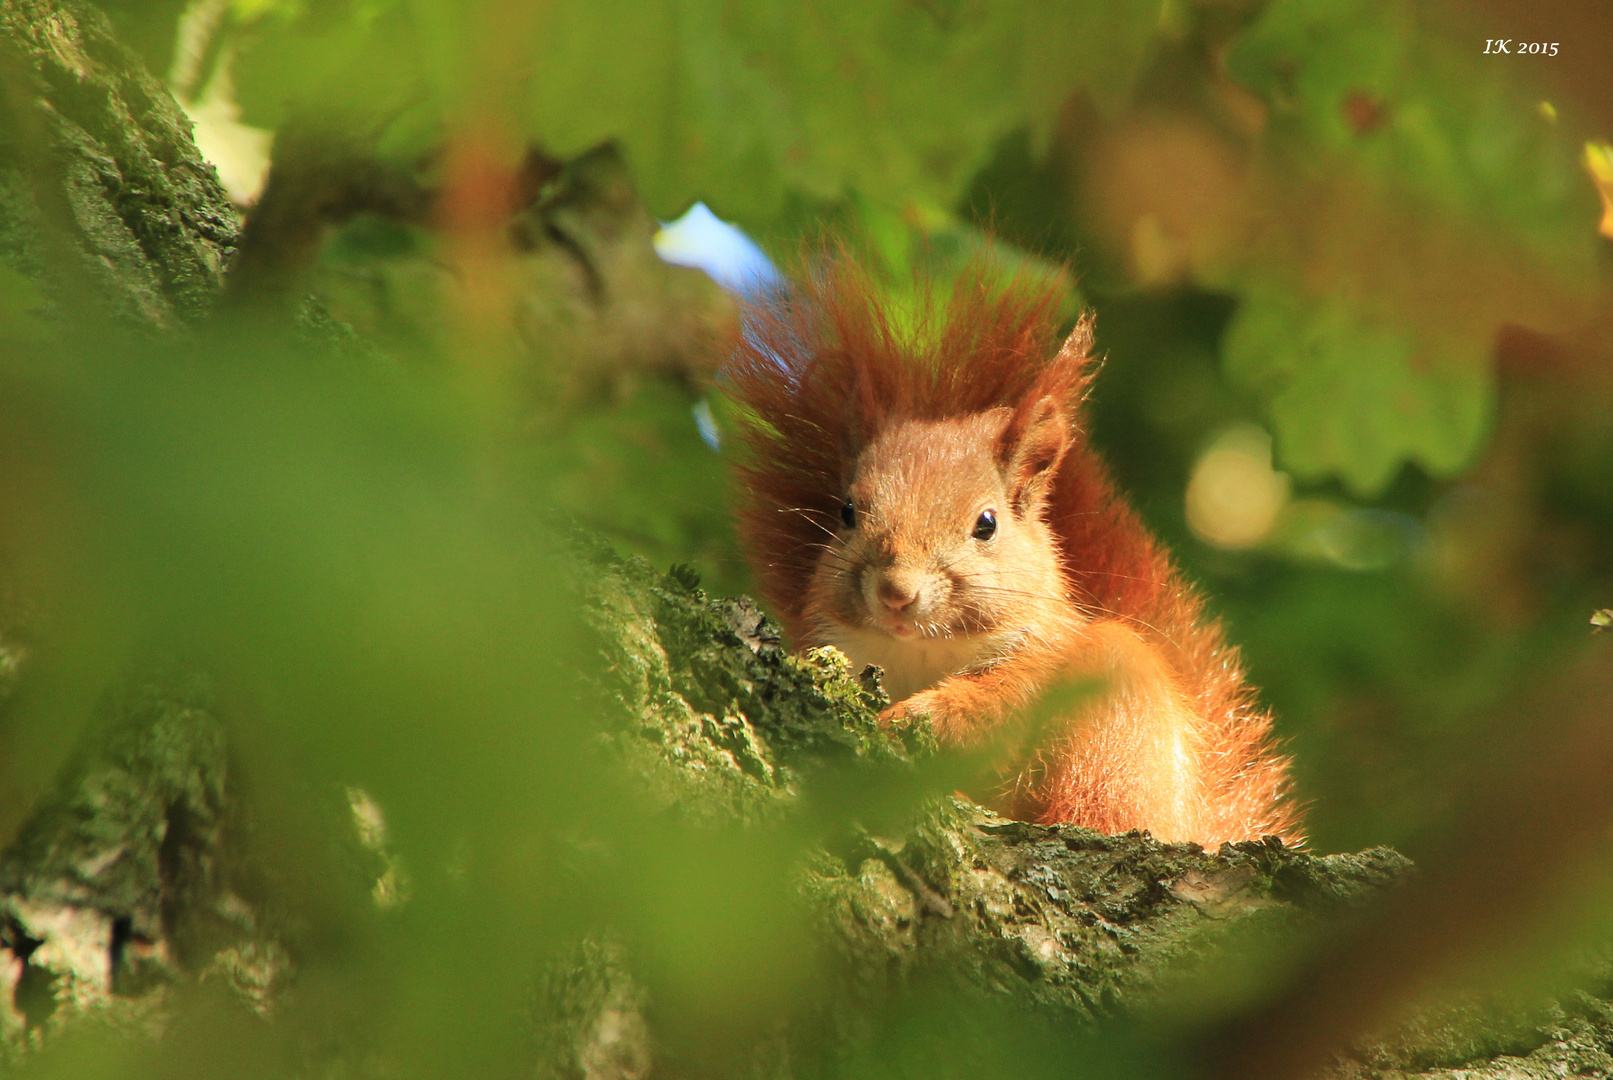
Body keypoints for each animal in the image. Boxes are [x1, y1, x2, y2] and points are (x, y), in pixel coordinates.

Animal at [725, 256, 1303, 844]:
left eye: (987, 524)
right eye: (846, 512)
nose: (896, 592)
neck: (922, 652)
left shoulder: (1040, 656)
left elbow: (994, 711)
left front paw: (913, 717)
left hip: (1117, 711)